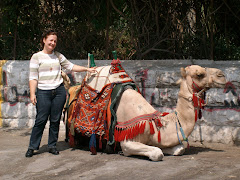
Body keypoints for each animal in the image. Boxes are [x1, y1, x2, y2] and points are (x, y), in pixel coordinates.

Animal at [64, 63, 226, 160]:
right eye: (199, 74)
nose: (222, 75)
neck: (155, 124)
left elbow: (180, 148)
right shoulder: (127, 141)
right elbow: (157, 153)